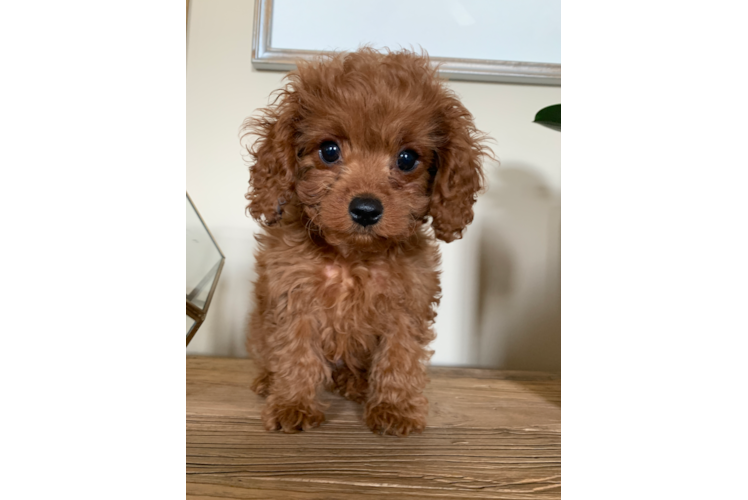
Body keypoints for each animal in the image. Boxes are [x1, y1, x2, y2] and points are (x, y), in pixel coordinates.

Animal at [243, 47, 488, 438]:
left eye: (407, 158)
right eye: (329, 150)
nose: (366, 209)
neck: (352, 258)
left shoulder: (408, 303)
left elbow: (399, 356)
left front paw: (394, 407)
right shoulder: (294, 296)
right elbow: (296, 354)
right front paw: (292, 404)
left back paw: (356, 383)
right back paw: (269, 380)